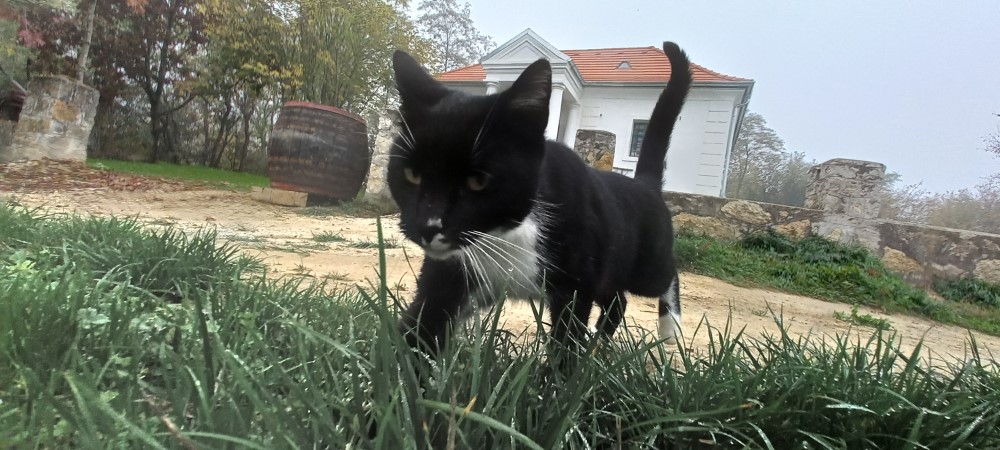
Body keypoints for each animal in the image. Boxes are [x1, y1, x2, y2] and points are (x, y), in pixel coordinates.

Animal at [386, 40, 692, 354]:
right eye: (411, 175)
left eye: (478, 181)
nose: (427, 226)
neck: (504, 235)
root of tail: (645, 184)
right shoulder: (452, 271)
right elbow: (422, 324)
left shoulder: (577, 283)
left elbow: (567, 339)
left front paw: (564, 366)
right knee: (617, 300)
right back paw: (597, 342)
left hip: (645, 265)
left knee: (667, 274)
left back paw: (670, 326)